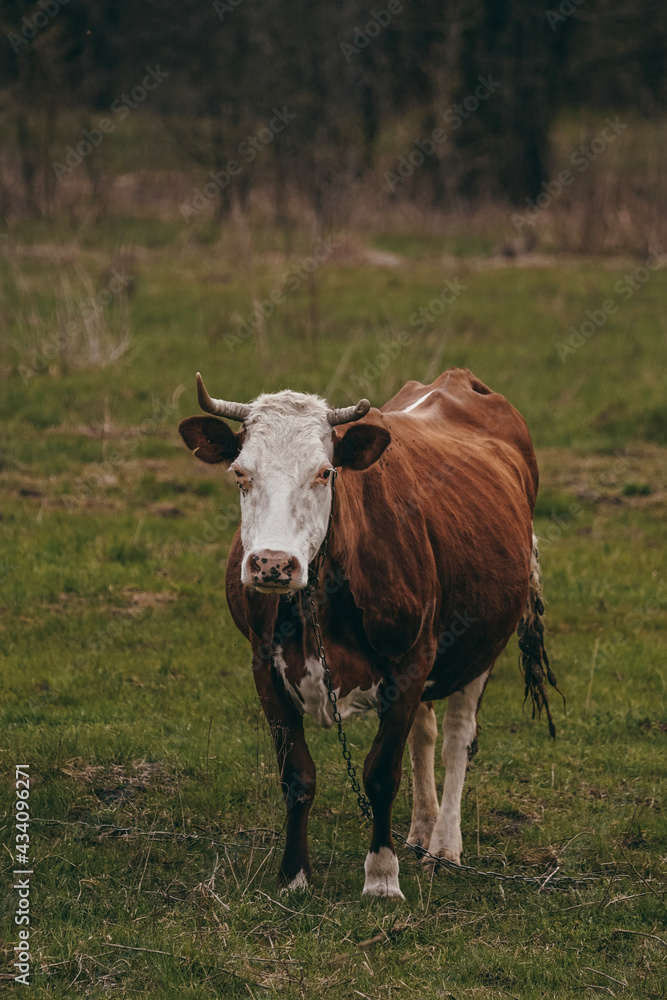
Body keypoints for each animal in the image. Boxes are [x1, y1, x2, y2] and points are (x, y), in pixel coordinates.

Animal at [180, 368, 556, 900]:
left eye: (324, 473)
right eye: (240, 473)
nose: (272, 564)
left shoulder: (412, 659)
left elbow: (380, 774)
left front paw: (381, 876)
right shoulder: (263, 663)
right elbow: (297, 775)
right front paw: (294, 876)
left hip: (481, 647)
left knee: (457, 738)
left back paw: (444, 846)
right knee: (424, 734)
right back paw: (420, 831)